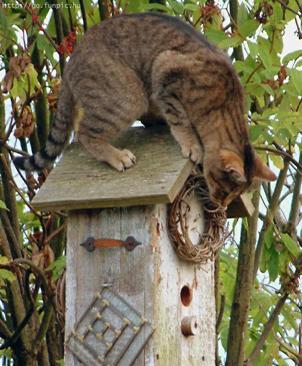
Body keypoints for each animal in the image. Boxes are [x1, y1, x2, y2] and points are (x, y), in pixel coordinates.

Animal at [15, 12, 278, 206]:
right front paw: (191, 143)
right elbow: (179, 118)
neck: (223, 105)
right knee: (84, 133)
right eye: (224, 190)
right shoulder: (165, 70)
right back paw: (117, 156)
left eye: (233, 196)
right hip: (129, 96)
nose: (221, 205)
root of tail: (70, 63)